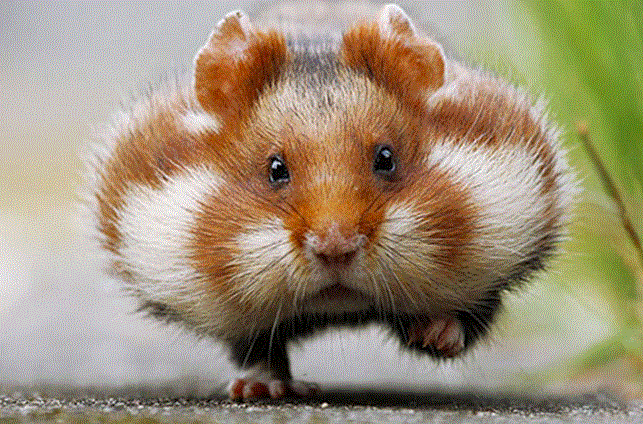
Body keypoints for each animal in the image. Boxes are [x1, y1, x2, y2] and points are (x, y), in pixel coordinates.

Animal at [85, 4, 577, 400]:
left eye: (386, 158)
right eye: (275, 169)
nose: (335, 248)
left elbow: (466, 319)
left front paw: (435, 334)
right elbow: (256, 347)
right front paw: (261, 389)